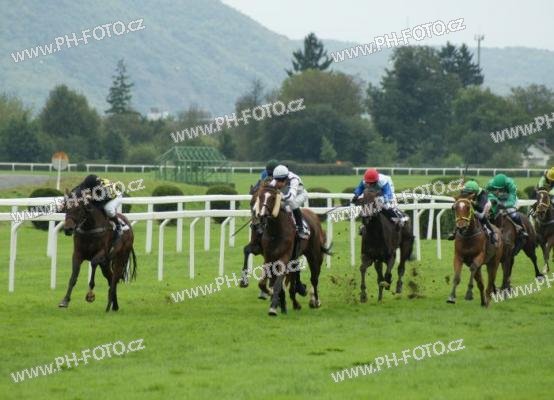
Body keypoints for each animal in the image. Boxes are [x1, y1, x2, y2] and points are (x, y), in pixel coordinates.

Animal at [255, 183, 331, 316]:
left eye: (273, 198)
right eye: (260, 196)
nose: (262, 215)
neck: (275, 231)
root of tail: (314, 216)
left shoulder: (284, 257)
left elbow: (278, 284)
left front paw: (273, 307)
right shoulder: (269, 258)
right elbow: (263, 283)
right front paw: (275, 298)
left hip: (314, 255)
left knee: (314, 278)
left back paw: (315, 301)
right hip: (295, 259)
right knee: (294, 279)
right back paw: (295, 303)